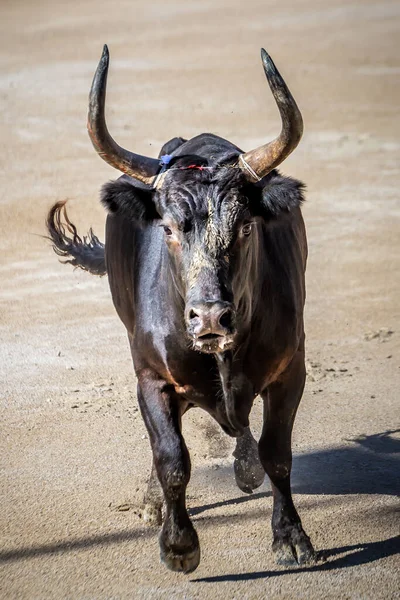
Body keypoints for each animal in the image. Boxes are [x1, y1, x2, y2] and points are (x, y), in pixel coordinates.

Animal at [47, 45, 318, 572]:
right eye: (169, 228)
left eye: (246, 227)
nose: (210, 317)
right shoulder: (151, 376)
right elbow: (171, 459)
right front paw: (178, 544)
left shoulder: (289, 369)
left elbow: (277, 454)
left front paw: (291, 536)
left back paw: (245, 466)